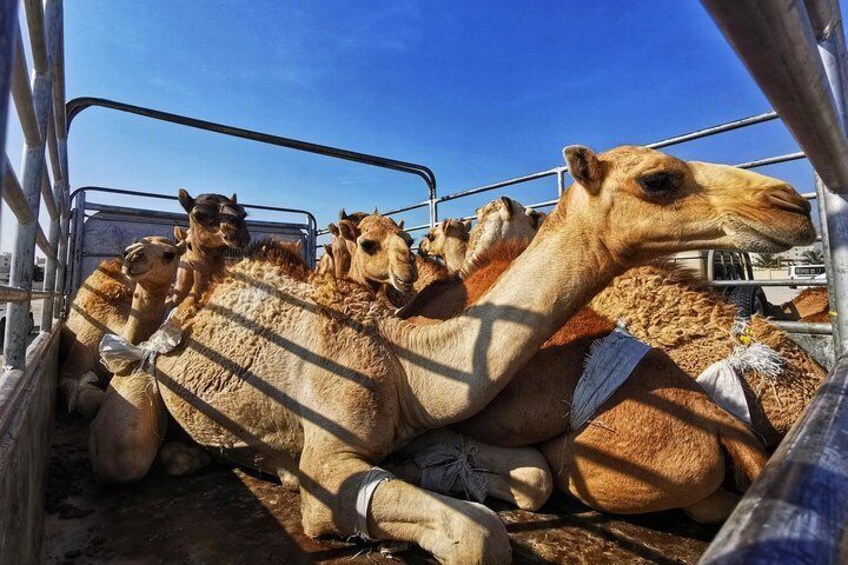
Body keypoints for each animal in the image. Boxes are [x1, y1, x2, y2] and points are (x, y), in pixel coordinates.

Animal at [93, 147, 816, 564]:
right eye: (659, 178)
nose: (791, 202)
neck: (403, 359)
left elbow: (531, 479)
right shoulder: (330, 462)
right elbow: (479, 536)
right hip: (138, 371)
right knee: (122, 455)